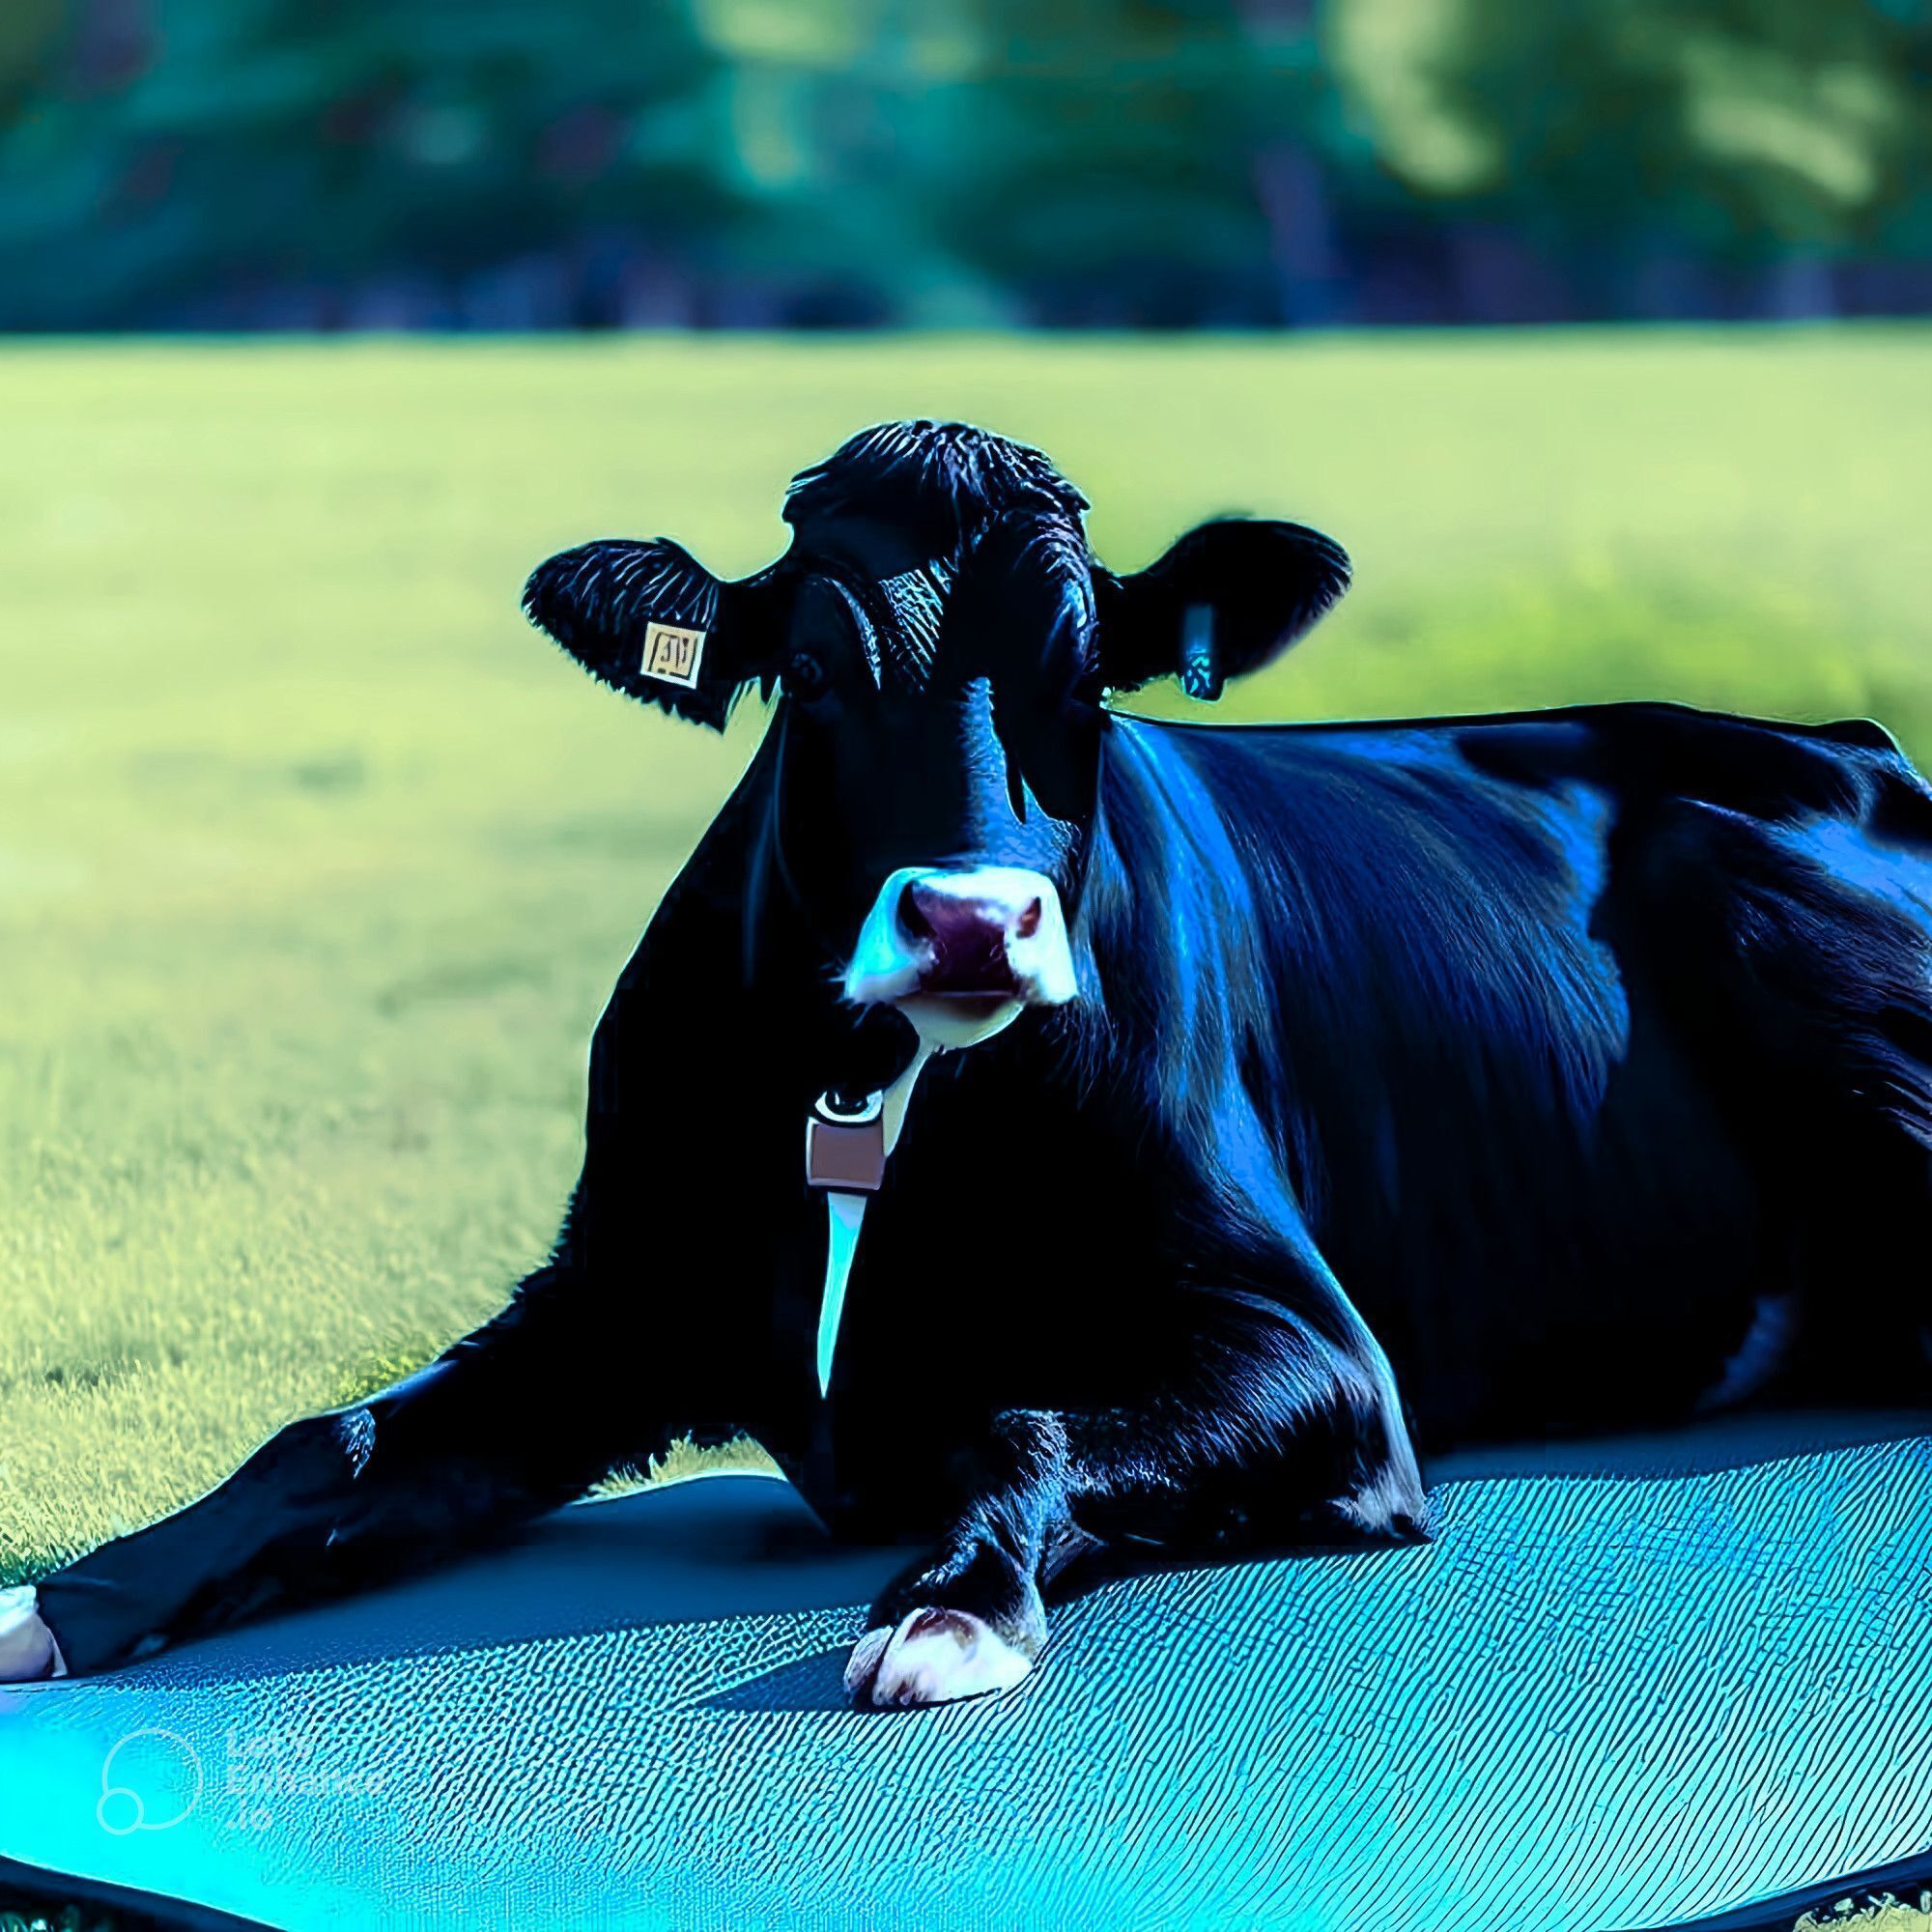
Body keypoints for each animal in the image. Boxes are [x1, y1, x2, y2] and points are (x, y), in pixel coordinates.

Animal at [7, 419, 1931, 1708]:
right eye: (810, 674)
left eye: (1091, 679)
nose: (969, 920)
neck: (877, 1104)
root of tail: (1838, 732)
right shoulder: (614, 1296)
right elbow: (322, 1441)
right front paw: (70, 1602)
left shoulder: (1321, 1347)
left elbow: (1025, 1416)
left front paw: (948, 1604)